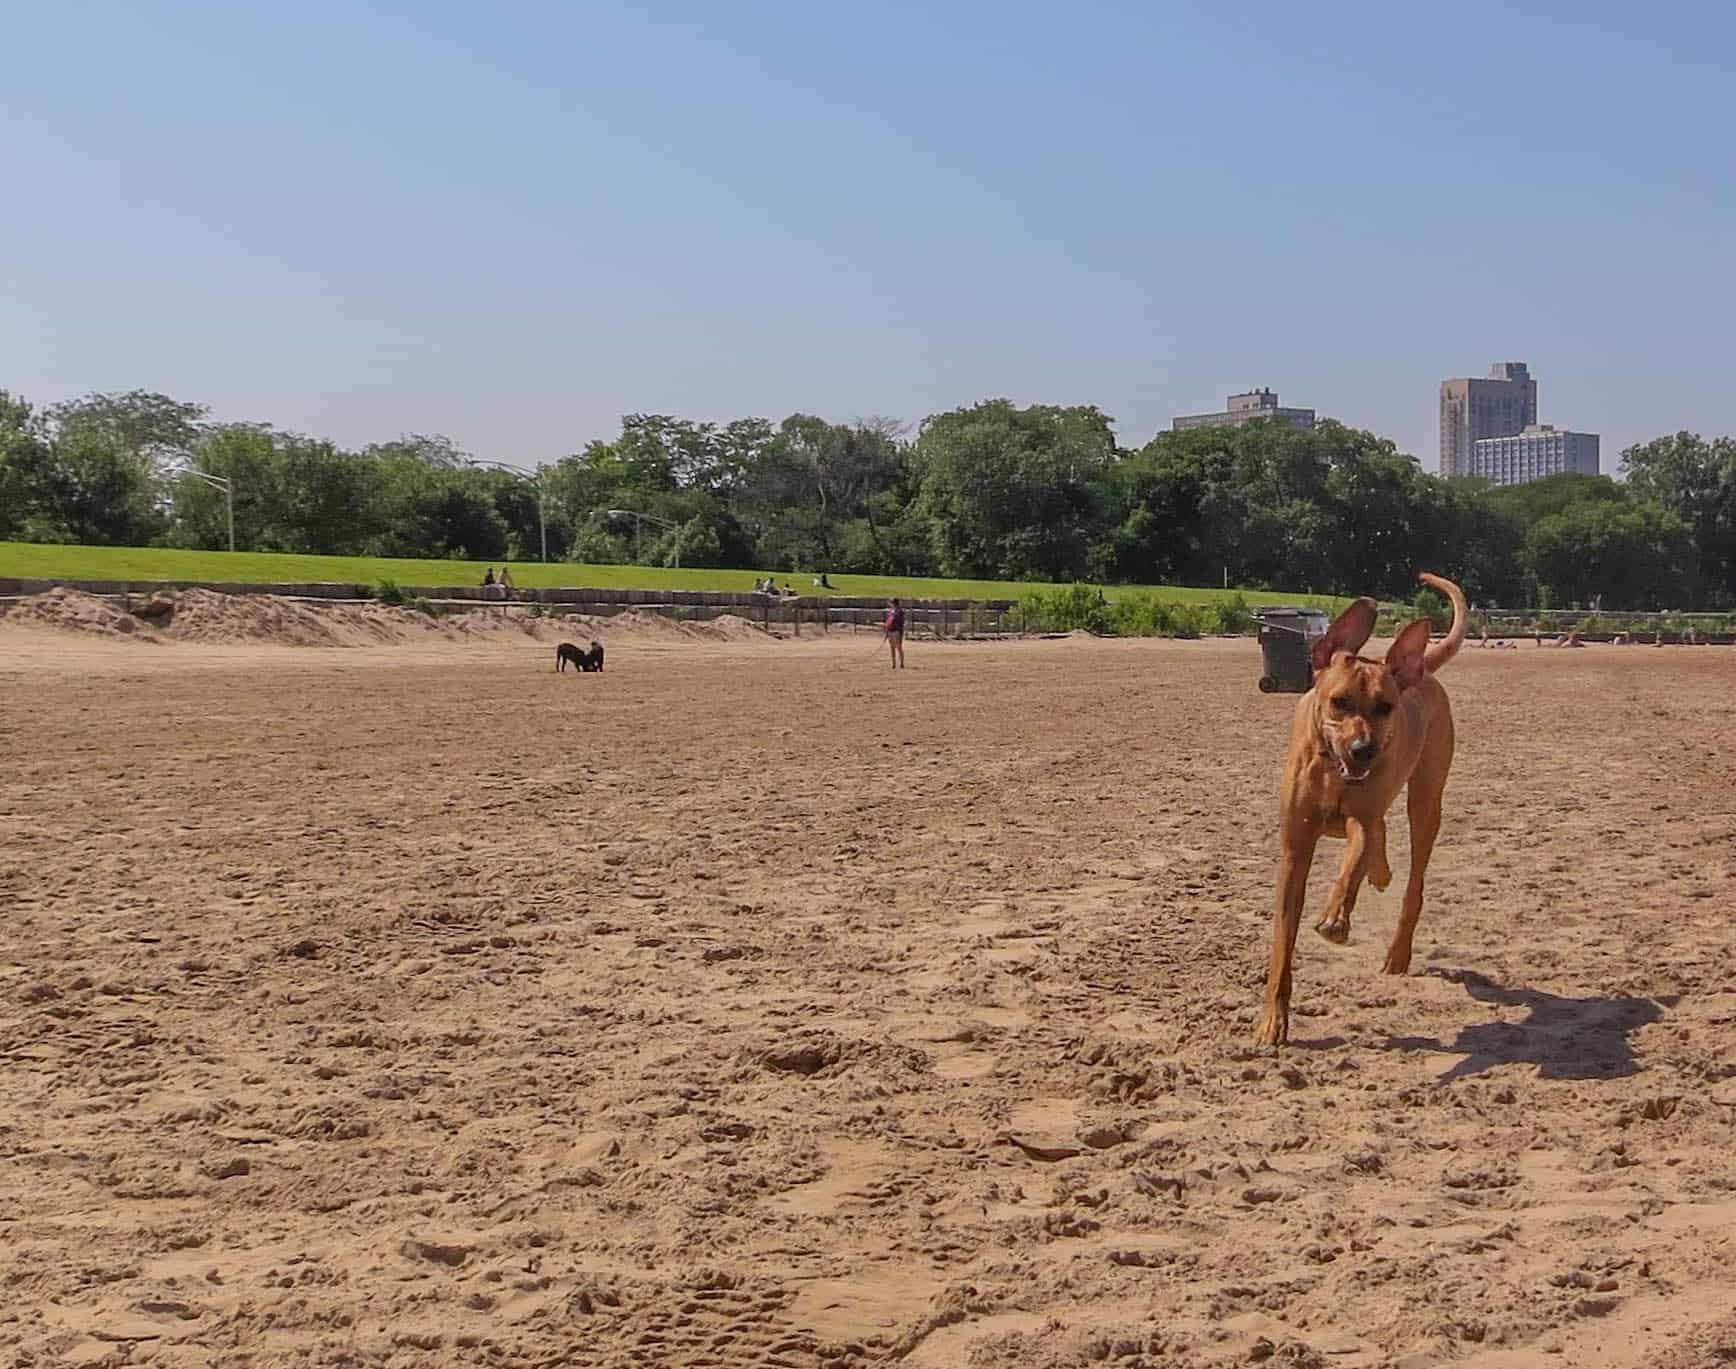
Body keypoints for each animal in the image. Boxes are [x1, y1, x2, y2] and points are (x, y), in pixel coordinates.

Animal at [1263, 572, 1465, 1041]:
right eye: (1340, 702)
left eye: (1384, 707)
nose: (1363, 750)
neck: (1331, 772)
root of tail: (1419, 669)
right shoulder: (1295, 850)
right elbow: (1282, 942)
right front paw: (1272, 1021)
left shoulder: (1360, 816)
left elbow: (1354, 858)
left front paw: (1335, 917)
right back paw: (1382, 872)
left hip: (1425, 802)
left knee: (1411, 880)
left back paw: (1397, 951)